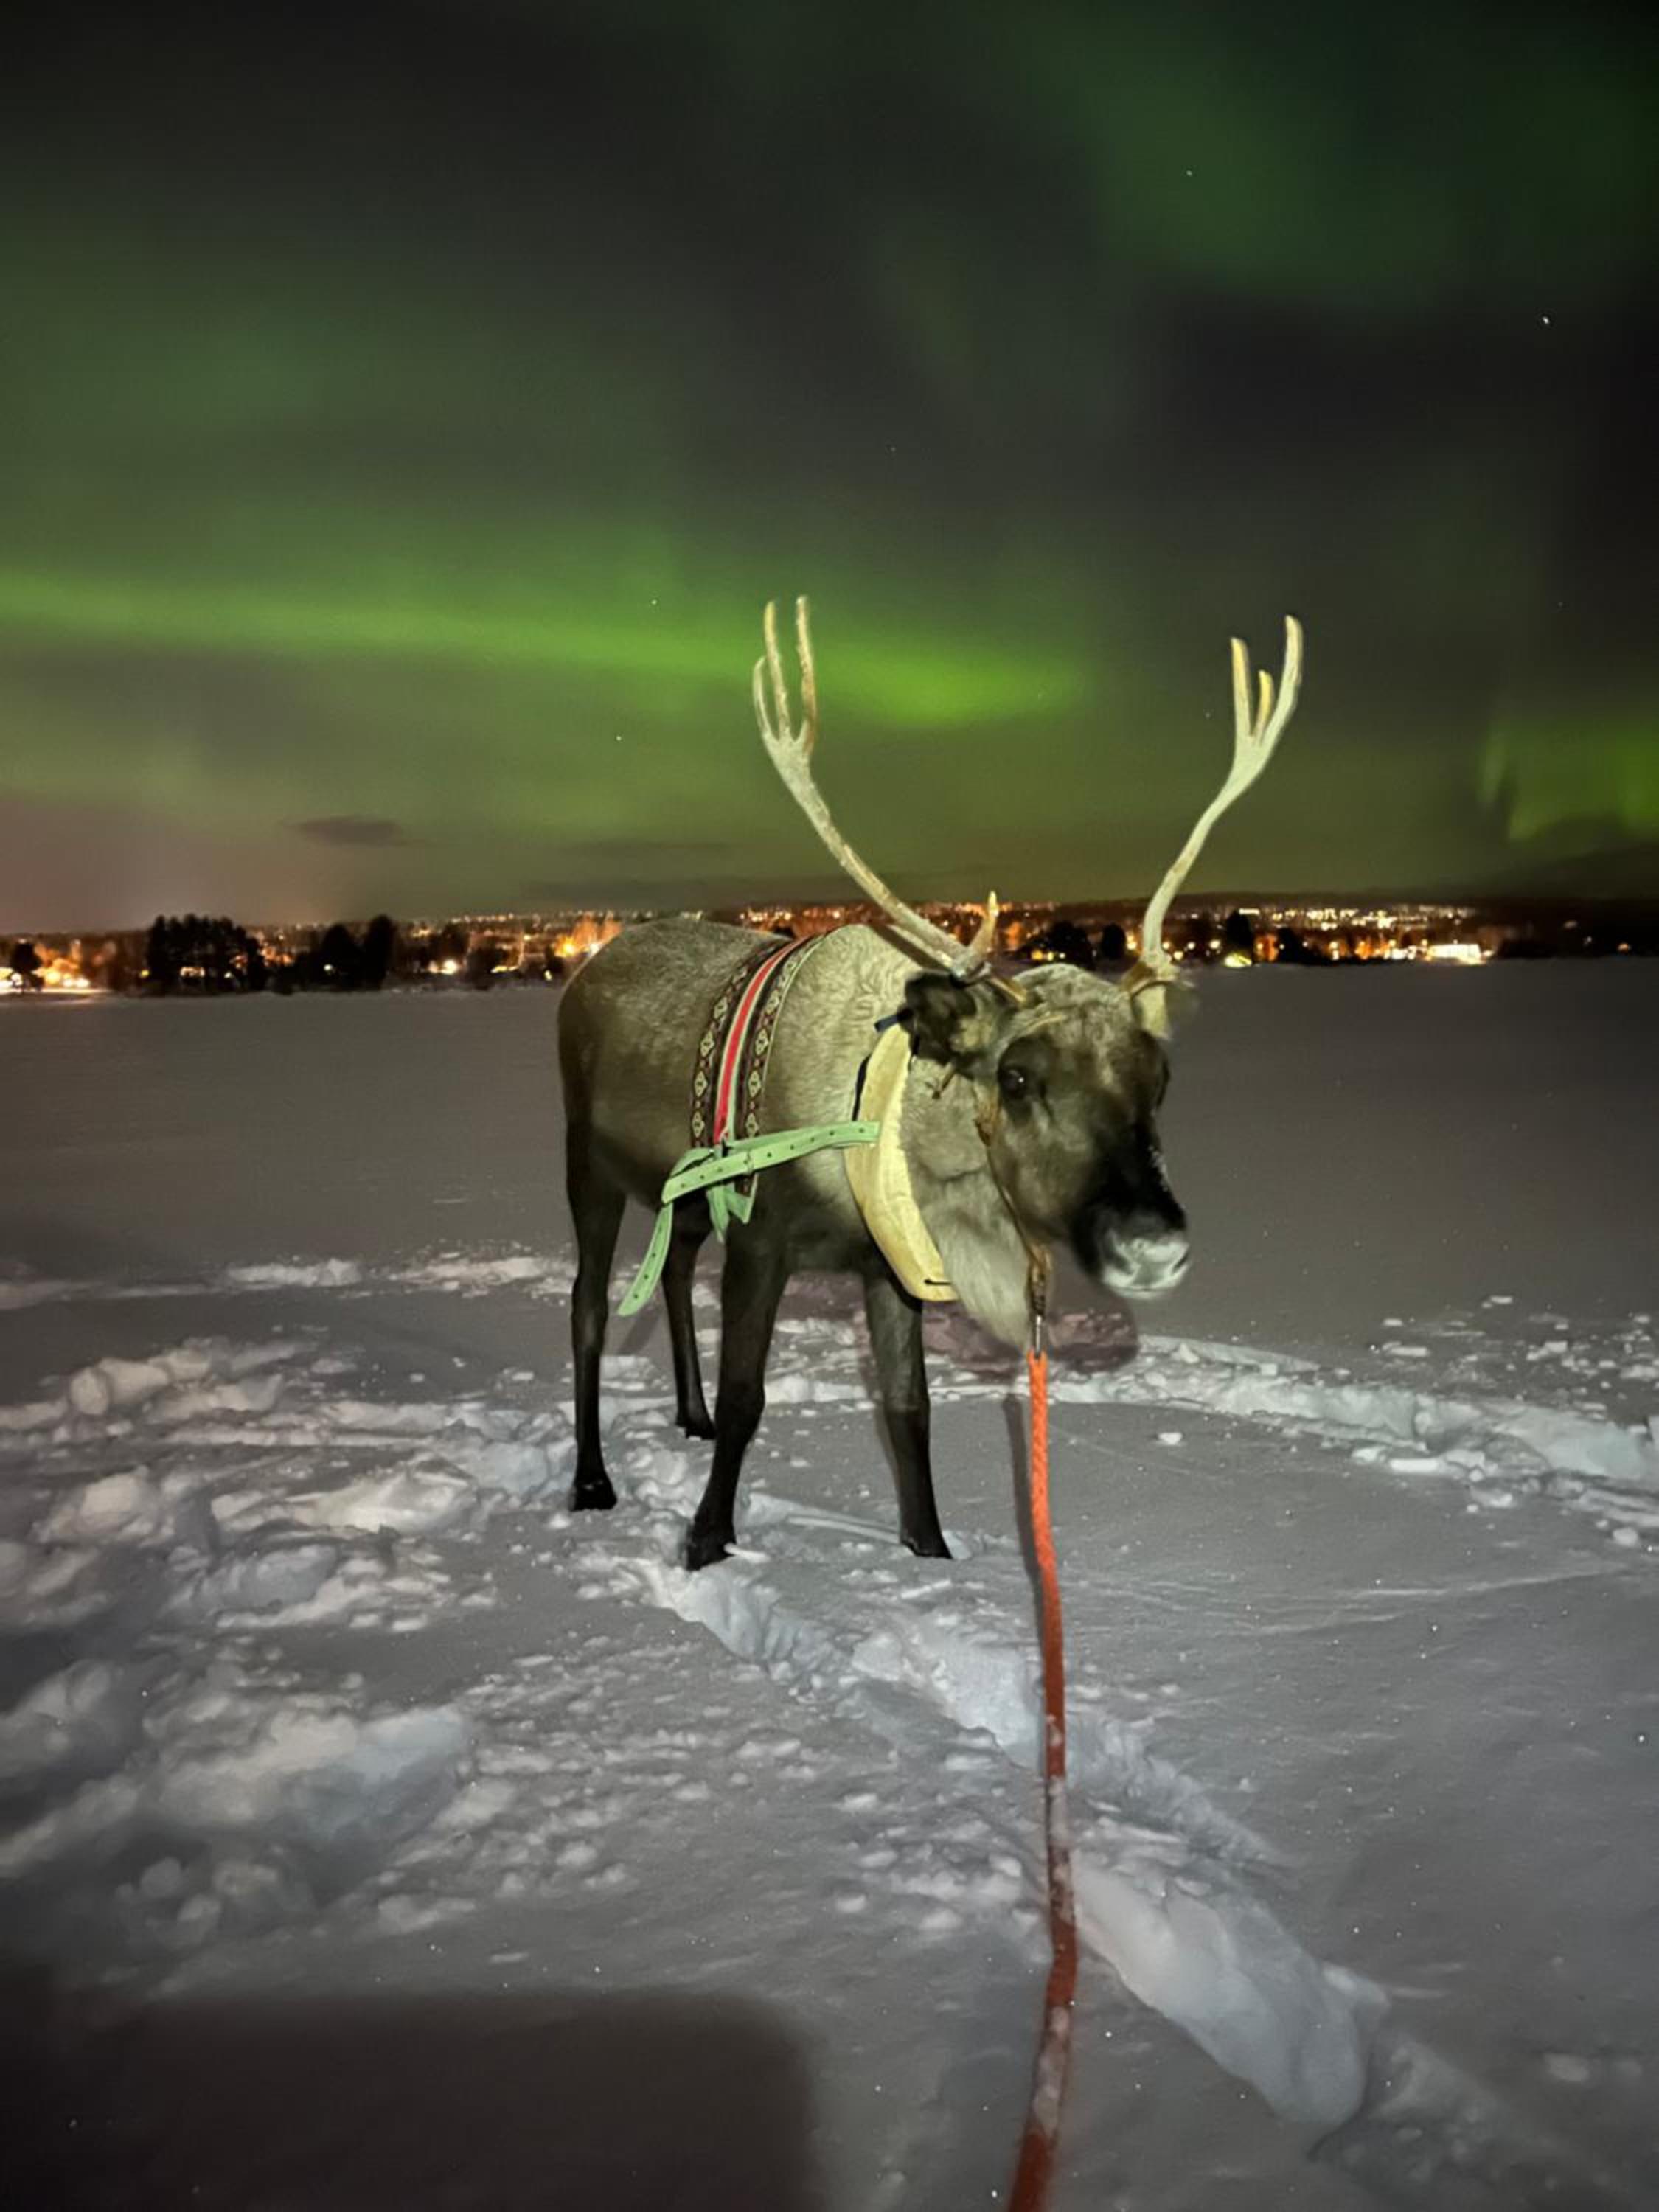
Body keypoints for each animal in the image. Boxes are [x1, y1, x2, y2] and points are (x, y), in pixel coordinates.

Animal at [558, 600, 1303, 1568]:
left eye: (1162, 1074)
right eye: (1017, 1075)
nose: (1152, 1246)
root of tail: (582, 972)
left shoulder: (887, 1264)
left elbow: (908, 1409)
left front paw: (932, 1551)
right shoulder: (762, 1237)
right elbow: (750, 1396)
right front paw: (707, 1539)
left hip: (682, 1193)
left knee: (677, 1269)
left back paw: (685, 1413)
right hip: (588, 1163)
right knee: (587, 1309)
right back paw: (591, 1479)